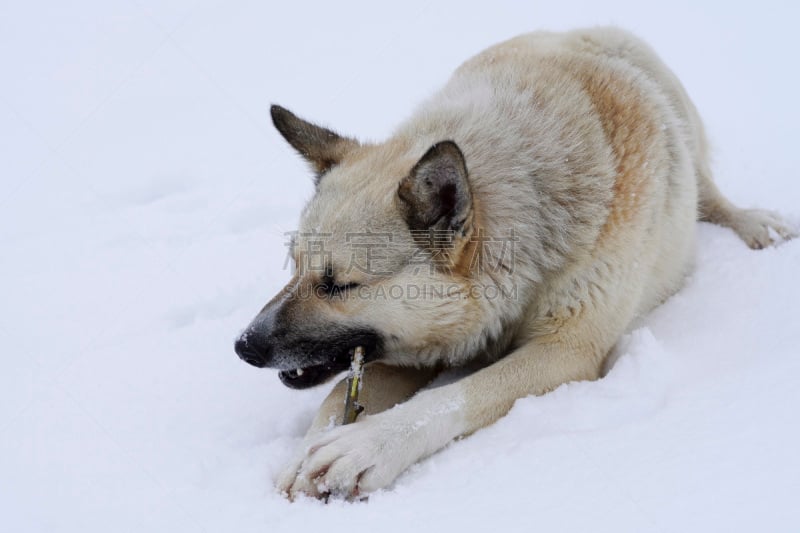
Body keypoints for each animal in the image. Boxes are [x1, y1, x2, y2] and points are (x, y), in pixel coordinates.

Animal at [233, 26, 792, 498]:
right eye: (295, 266)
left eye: (338, 285)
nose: (243, 347)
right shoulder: (413, 346)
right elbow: (335, 399)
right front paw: (308, 449)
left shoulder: (566, 352)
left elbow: (453, 398)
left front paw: (367, 444)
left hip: (680, 124)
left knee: (710, 195)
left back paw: (754, 224)